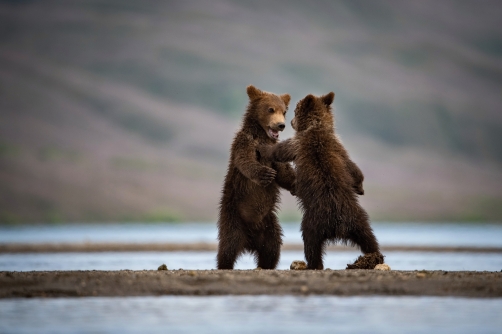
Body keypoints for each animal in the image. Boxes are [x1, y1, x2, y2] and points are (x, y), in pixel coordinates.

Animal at [218, 85, 296, 268]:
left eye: (284, 111)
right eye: (270, 109)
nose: (281, 125)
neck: (262, 136)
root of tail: (249, 242)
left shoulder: (274, 152)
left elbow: (284, 172)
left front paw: (296, 182)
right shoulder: (244, 143)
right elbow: (246, 161)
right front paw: (266, 174)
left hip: (269, 225)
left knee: (272, 248)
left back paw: (266, 265)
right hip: (233, 218)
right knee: (228, 247)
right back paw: (225, 264)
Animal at [258, 92, 380, 270]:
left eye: (294, 111)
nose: (290, 122)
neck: (315, 127)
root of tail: (339, 225)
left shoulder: (298, 143)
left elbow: (281, 151)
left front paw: (263, 148)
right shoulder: (338, 146)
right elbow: (351, 166)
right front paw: (360, 187)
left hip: (312, 221)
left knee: (311, 244)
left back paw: (312, 264)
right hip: (358, 221)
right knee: (369, 238)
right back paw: (375, 255)